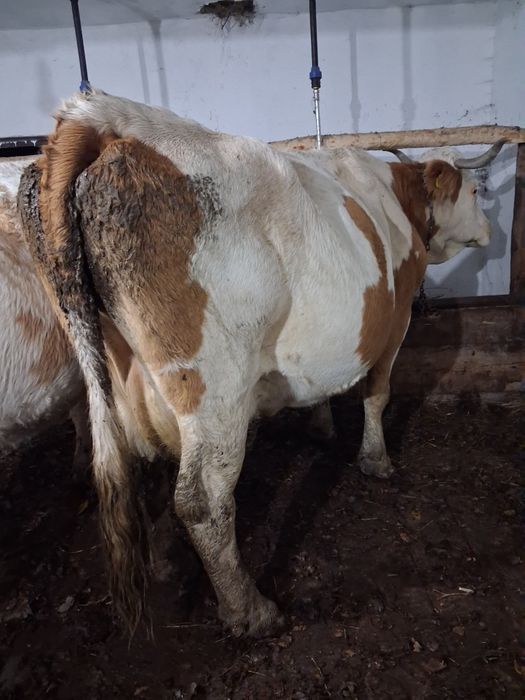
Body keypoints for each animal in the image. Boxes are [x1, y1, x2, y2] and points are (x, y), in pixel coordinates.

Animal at [17, 89, 502, 637]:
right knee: (203, 499)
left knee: (144, 466)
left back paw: (165, 560)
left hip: (122, 379)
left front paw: (320, 425)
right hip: (214, 386)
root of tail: (99, 120)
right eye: (476, 191)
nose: (490, 231)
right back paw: (249, 610)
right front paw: (376, 460)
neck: (396, 198)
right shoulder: (394, 321)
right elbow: (378, 394)